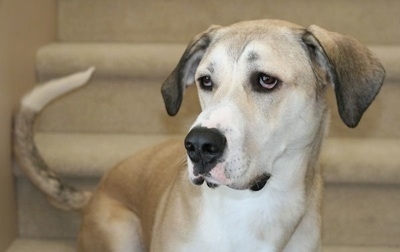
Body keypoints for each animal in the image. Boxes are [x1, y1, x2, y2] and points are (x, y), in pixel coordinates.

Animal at [14, 19, 384, 252]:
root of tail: (94, 195)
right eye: (205, 80)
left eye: (266, 80)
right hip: (120, 231)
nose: (199, 146)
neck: (250, 207)